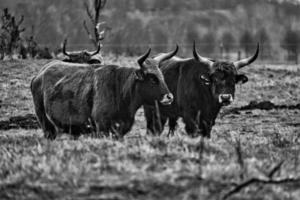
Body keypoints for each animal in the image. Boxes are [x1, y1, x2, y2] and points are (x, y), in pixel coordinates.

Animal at [30, 45, 178, 140]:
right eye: (152, 78)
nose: (169, 97)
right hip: (47, 126)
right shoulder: (102, 128)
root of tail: (41, 73)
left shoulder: (121, 130)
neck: (119, 89)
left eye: (161, 76)